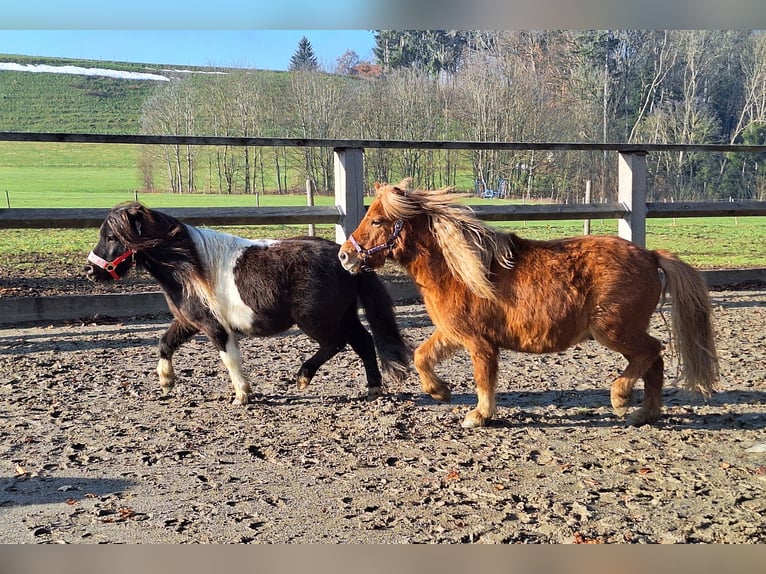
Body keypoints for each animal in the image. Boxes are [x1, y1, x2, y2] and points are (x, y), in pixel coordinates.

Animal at [85, 205, 412, 408]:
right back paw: (373, 388)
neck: (190, 267)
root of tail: (344, 256)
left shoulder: (215, 326)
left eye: (112, 236)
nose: (90, 271)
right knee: (364, 342)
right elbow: (165, 343)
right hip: (343, 316)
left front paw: (242, 395)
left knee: (337, 343)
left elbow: (230, 359)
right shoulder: (189, 321)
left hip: (315, 320)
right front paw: (166, 382)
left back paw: (303, 376)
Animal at [340, 182, 720, 430]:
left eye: (377, 220)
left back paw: (621, 397)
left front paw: (479, 415)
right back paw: (646, 414)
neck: (460, 269)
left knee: (652, 353)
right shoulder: (453, 333)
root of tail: (651, 255)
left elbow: (484, 380)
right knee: (654, 363)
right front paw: (440, 392)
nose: (345, 256)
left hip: (615, 331)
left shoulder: (479, 343)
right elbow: (422, 357)